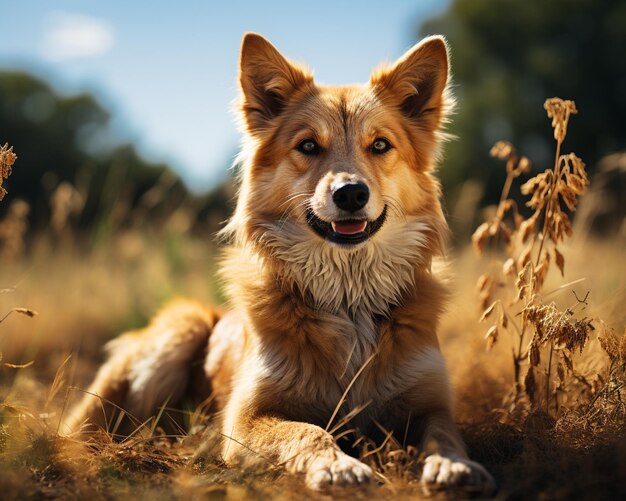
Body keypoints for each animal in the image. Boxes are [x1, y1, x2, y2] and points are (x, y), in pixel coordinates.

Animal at [67, 32, 492, 492]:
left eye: (380, 145)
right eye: (308, 146)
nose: (350, 193)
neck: (348, 300)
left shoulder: (431, 403)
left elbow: (445, 435)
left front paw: (454, 465)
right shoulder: (245, 419)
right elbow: (307, 430)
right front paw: (337, 465)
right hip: (182, 327)